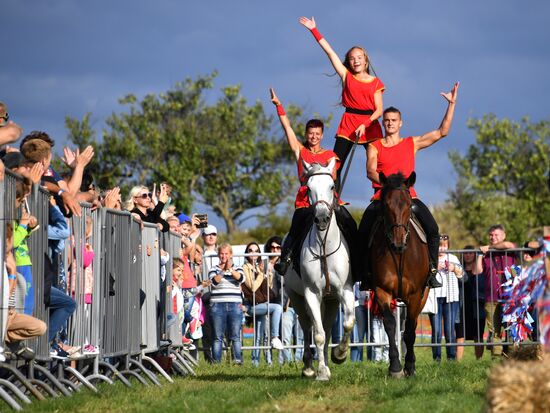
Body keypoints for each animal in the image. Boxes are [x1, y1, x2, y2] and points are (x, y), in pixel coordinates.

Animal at [284, 159, 358, 380]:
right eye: (308, 188)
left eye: (332, 186)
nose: (322, 218)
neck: (324, 246)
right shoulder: (311, 293)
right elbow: (317, 334)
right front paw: (322, 372)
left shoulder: (345, 291)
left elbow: (348, 323)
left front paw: (339, 355)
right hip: (297, 298)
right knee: (307, 326)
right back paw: (309, 366)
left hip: (331, 301)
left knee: (325, 326)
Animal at [370, 171, 432, 376]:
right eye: (386, 205)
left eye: (408, 204)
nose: (398, 243)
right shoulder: (381, 290)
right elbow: (390, 325)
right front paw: (395, 367)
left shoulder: (415, 295)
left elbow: (411, 330)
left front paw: (410, 366)